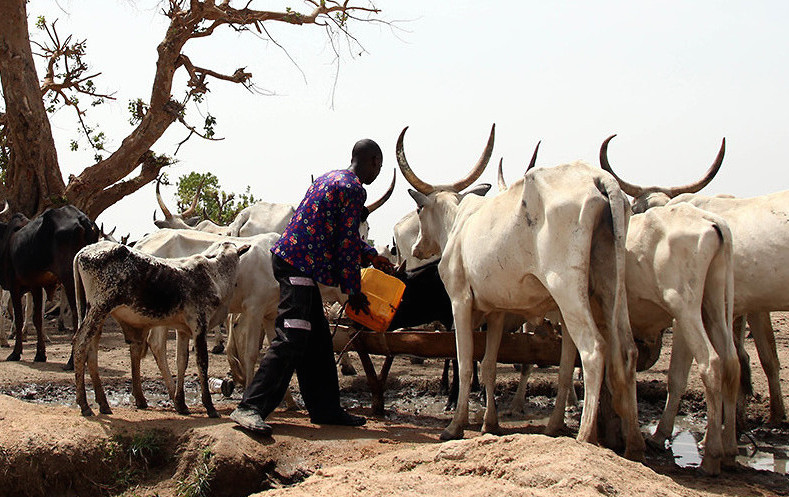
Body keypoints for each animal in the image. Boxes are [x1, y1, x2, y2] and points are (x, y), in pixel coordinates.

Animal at [0, 205, 100, 367]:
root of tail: (82, 220)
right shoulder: (35, 285)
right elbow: (37, 318)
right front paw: (40, 354)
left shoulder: (15, 286)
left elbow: (20, 317)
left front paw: (15, 353)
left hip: (70, 280)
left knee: (77, 314)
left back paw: (72, 361)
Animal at [72, 240, 249, 417]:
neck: (215, 275)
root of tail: (85, 250)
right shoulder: (199, 326)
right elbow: (202, 363)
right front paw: (210, 407)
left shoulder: (183, 331)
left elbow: (181, 362)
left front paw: (182, 404)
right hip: (99, 309)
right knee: (80, 344)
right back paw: (84, 404)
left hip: (97, 314)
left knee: (91, 350)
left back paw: (103, 403)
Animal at [399, 125, 645, 460]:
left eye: (418, 208)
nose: (416, 248)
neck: (459, 224)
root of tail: (598, 178)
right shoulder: (497, 311)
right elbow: (489, 365)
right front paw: (490, 423)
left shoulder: (460, 302)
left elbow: (465, 363)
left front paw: (455, 426)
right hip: (610, 287)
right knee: (626, 351)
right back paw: (632, 443)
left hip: (567, 289)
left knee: (593, 349)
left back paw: (585, 437)